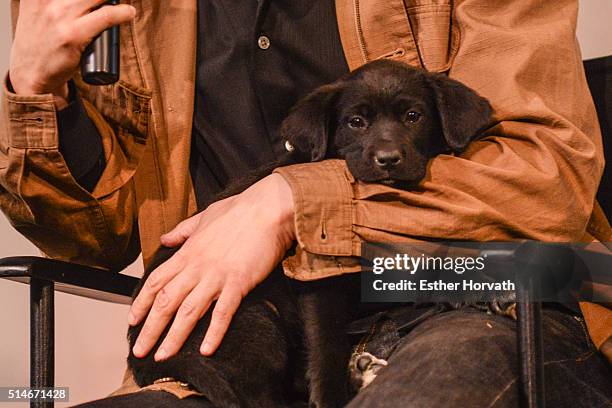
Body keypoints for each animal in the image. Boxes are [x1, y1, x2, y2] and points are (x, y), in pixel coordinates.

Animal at [80, 60, 492, 408]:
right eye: (356, 122)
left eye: (413, 116)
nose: (388, 159)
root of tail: (144, 358)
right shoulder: (319, 284)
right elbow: (326, 350)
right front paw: (331, 397)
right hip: (254, 324)